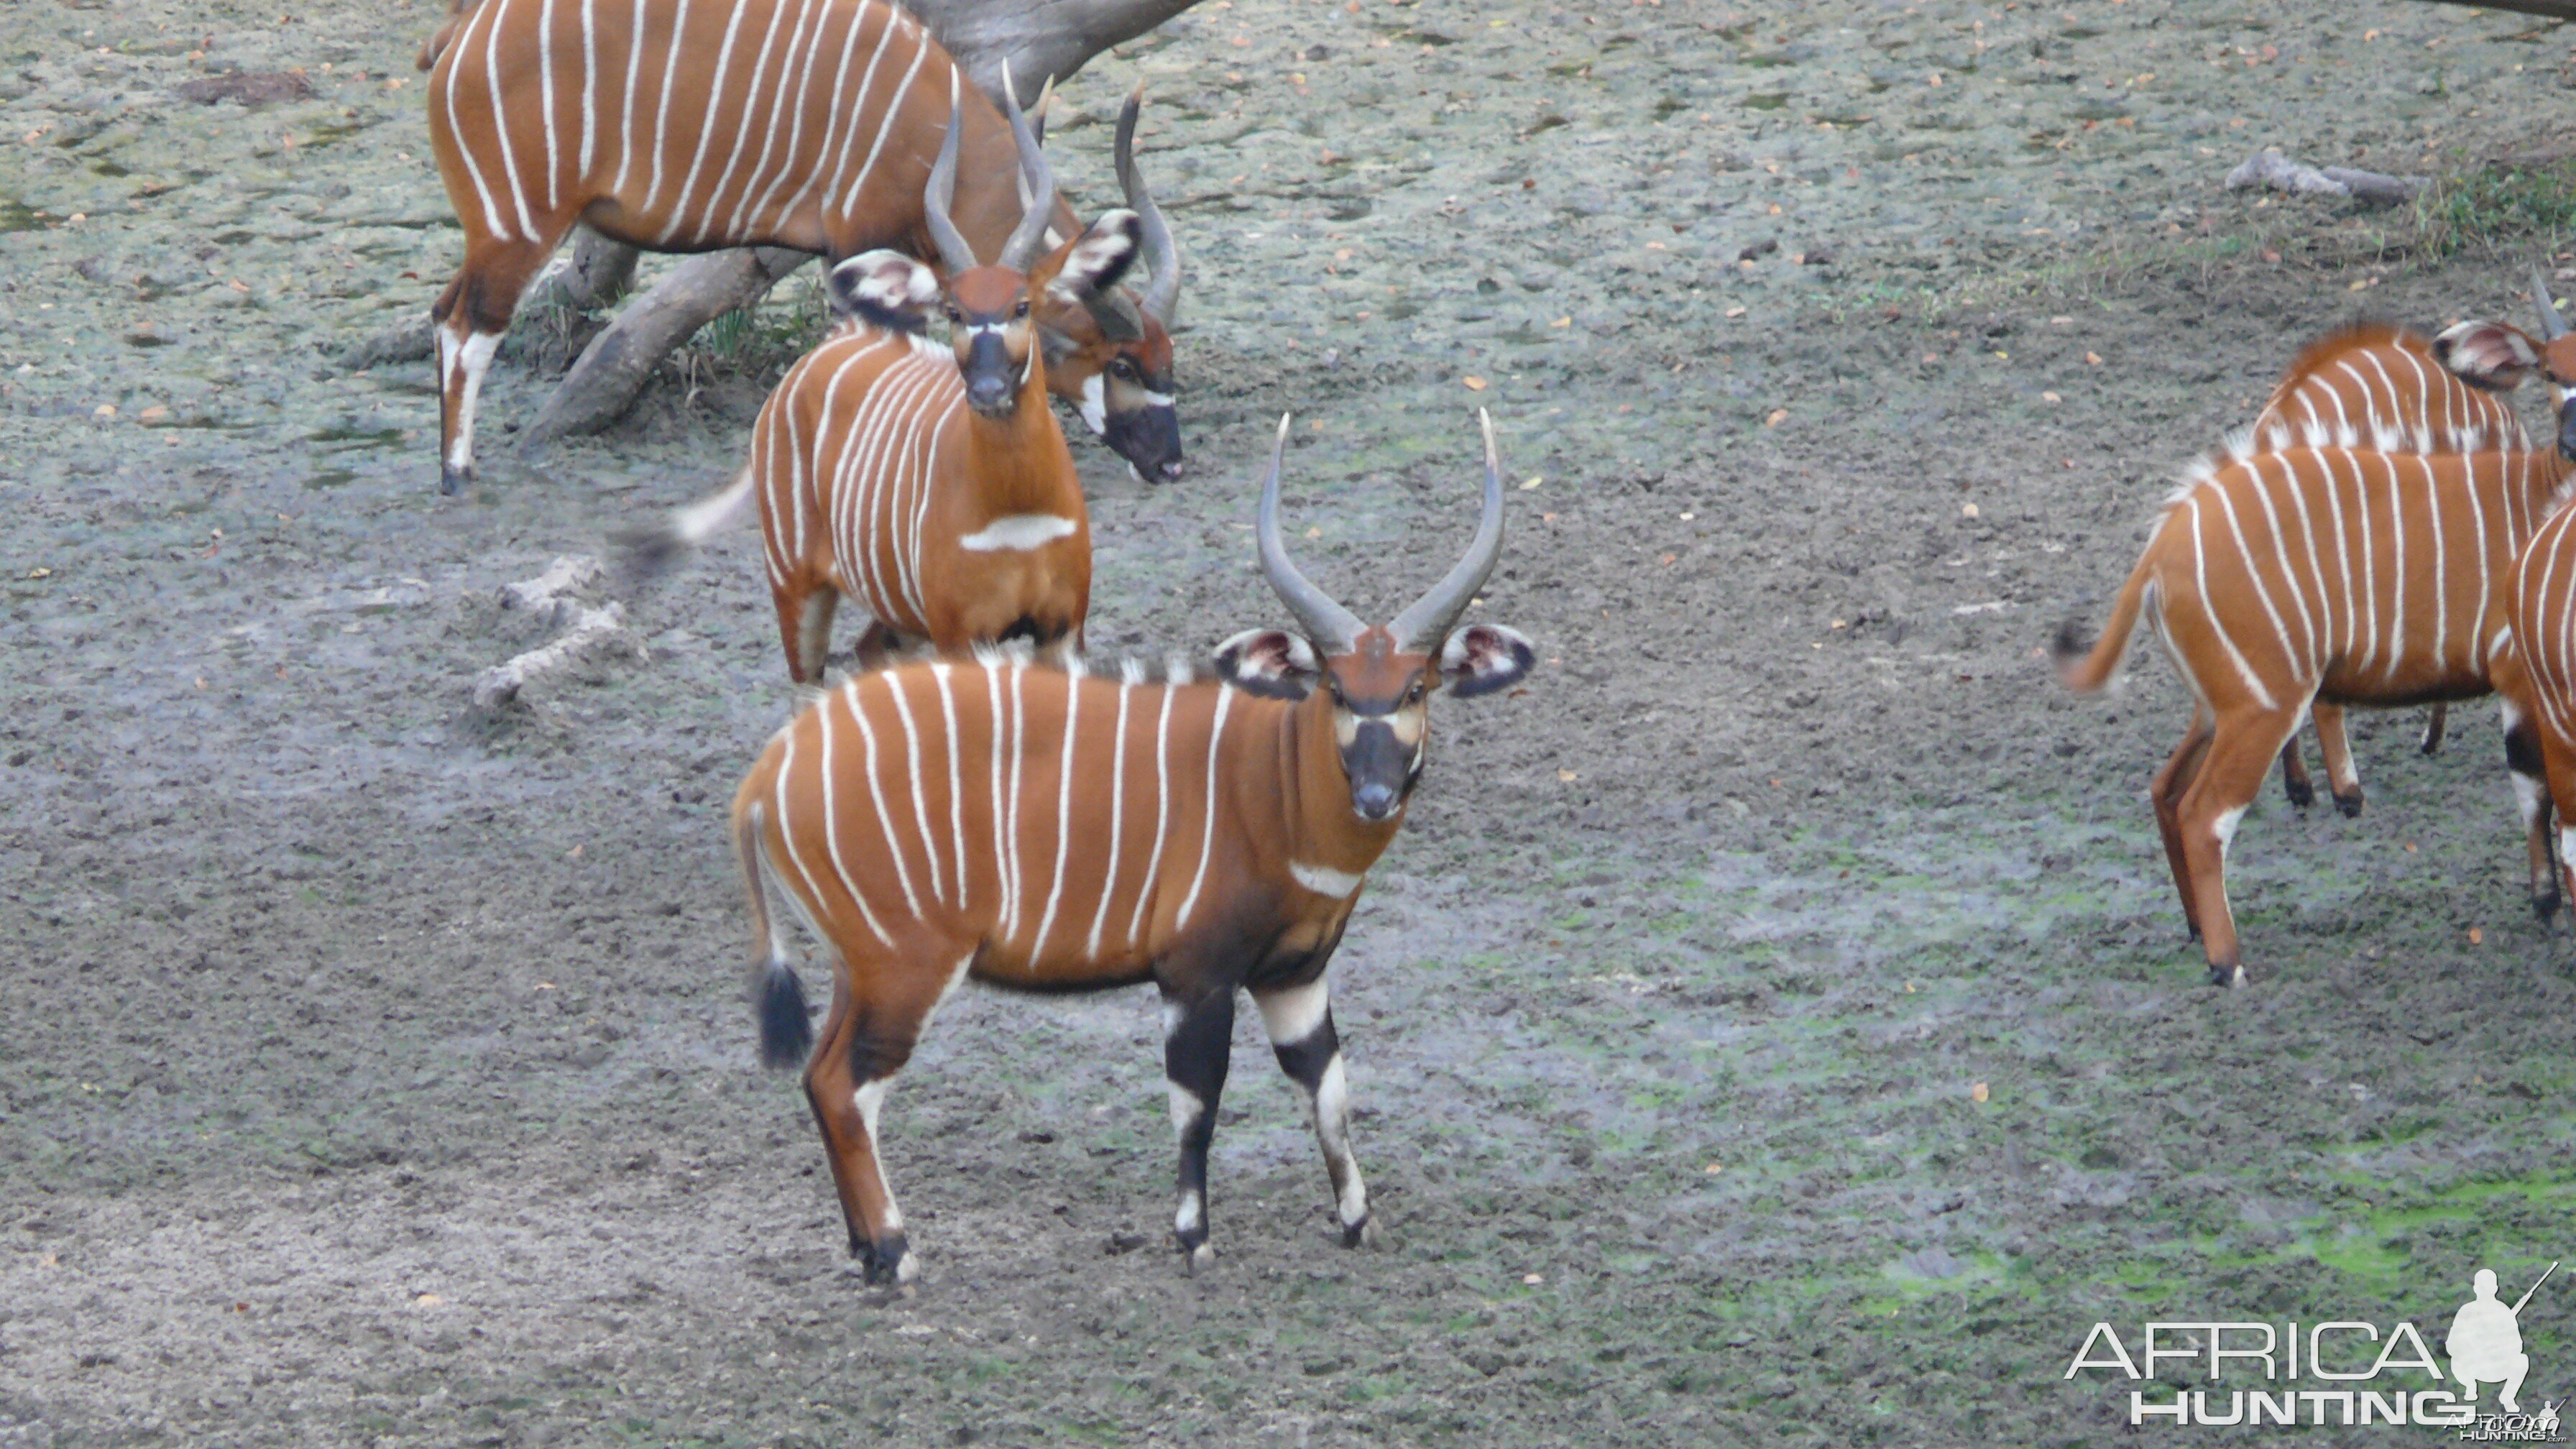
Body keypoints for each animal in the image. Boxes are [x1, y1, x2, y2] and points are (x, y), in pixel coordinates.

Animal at [422, 0, 1184, 489]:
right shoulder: (854, 244)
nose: (1171, 464)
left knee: (442, 312)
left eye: (1165, 359)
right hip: (517, 228)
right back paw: (459, 476)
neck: (936, 124)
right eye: (1119, 362)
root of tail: (461, 31)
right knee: (468, 324)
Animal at [726, 410, 1524, 1274]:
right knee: (848, 1086)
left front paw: (1357, 1222)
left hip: (861, 969)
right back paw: (896, 1255)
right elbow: (1196, 1104)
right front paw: (1195, 1241)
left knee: (817, 1076)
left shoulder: (1294, 977)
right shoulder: (1194, 974)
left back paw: (867, 1251)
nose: (1376, 796)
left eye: (1414, 688)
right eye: (1338, 691)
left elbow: (1327, 1089)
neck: (1273, 785)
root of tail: (769, 771)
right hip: (906, 967)